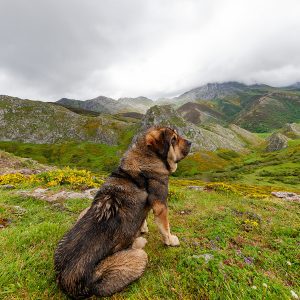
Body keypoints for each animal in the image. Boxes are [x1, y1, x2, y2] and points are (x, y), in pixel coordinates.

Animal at [54, 126, 191, 298]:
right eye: (174, 139)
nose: (190, 142)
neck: (144, 156)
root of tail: (66, 279)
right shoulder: (160, 203)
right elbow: (164, 226)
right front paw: (170, 240)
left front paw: (143, 227)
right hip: (137, 258)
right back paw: (138, 242)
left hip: (83, 213)